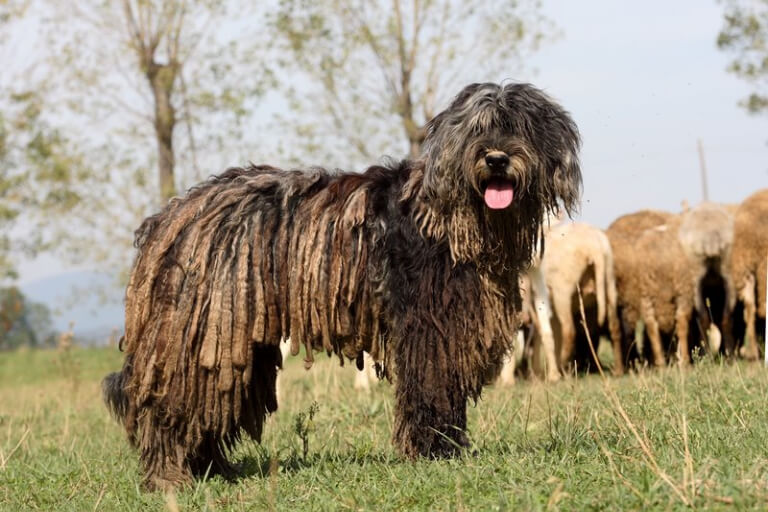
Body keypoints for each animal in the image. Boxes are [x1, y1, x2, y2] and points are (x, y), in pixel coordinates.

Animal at [103, 82, 584, 490]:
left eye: (519, 127)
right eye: (479, 128)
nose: (497, 158)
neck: (455, 222)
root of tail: (173, 215)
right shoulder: (430, 329)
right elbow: (430, 390)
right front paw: (434, 451)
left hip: (234, 348)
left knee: (211, 406)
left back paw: (211, 468)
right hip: (202, 335)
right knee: (171, 407)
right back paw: (170, 476)